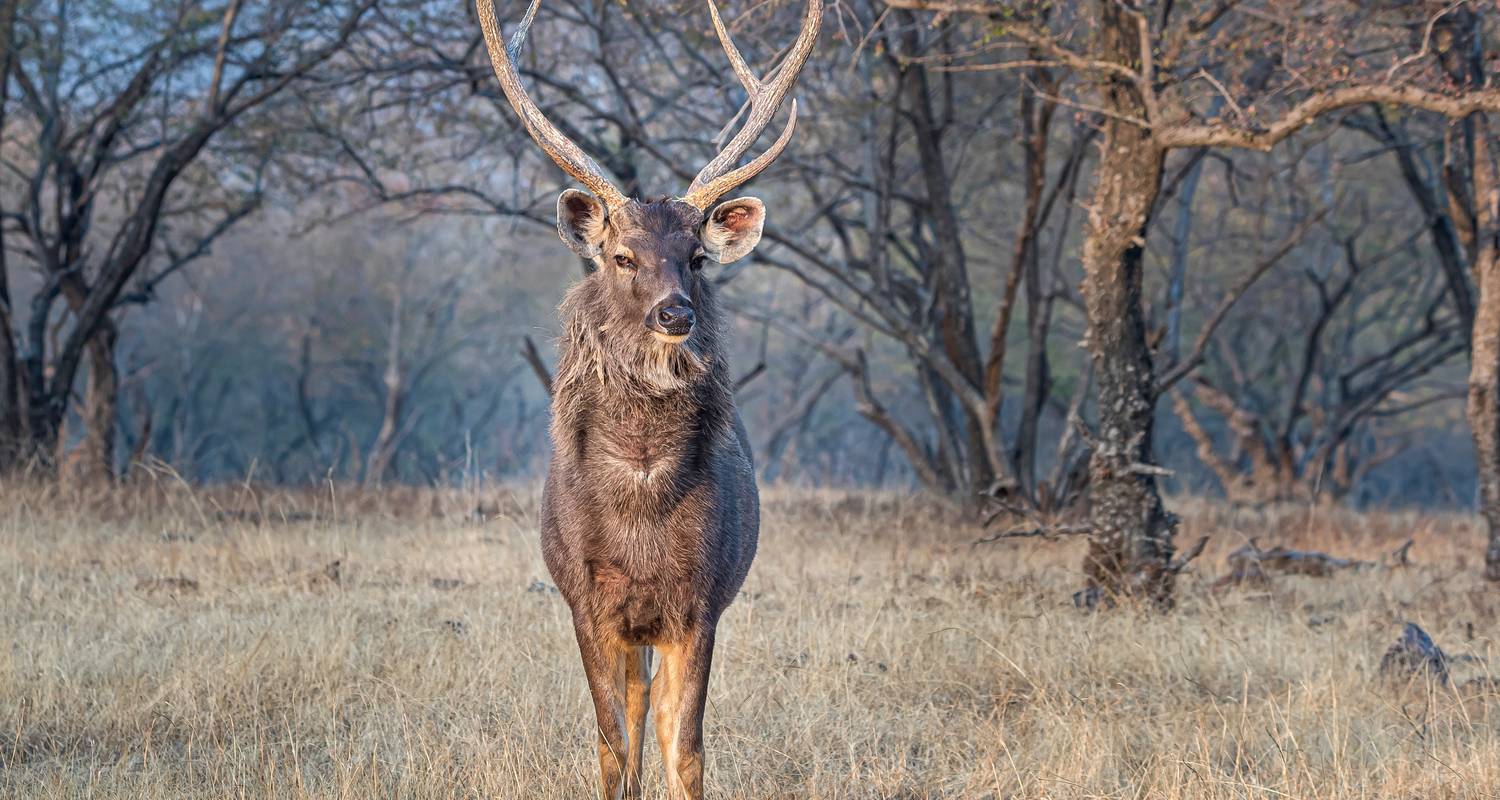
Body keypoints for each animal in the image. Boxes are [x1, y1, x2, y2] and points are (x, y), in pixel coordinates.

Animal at [471, 3, 822, 792]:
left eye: (696, 258)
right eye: (621, 255)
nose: (674, 313)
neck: (638, 504)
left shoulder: (701, 600)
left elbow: (684, 745)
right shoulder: (585, 600)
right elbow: (611, 743)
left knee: (655, 712)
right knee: (632, 713)